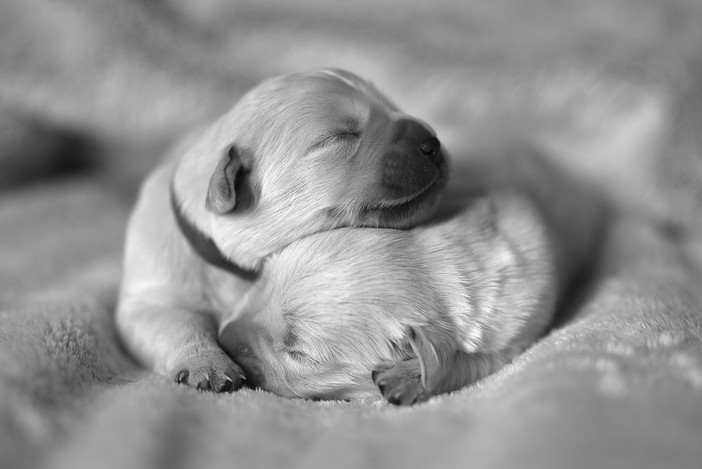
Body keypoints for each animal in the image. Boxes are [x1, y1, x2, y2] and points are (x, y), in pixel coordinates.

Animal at [115, 68, 446, 392]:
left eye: (392, 106)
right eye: (339, 136)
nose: (432, 143)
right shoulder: (151, 295)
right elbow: (178, 323)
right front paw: (207, 364)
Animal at [220, 150, 604, 402]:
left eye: (299, 353)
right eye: (263, 280)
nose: (223, 339)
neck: (440, 263)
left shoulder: (517, 327)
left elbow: (467, 362)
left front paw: (410, 379)